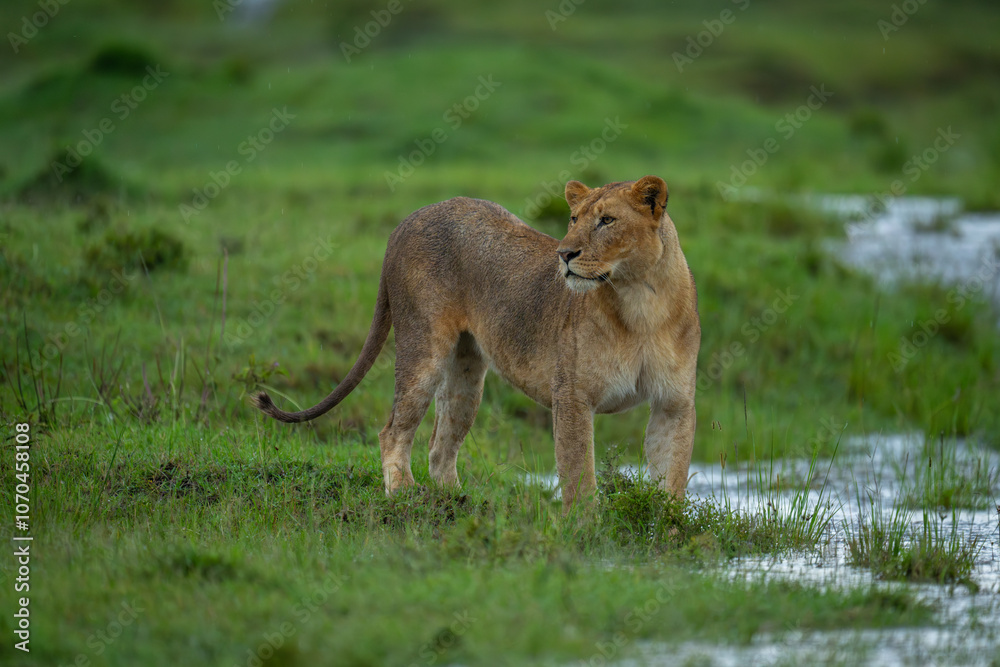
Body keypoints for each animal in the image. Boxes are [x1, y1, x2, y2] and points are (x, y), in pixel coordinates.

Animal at [254, 176, 700, 509]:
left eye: (607, 220)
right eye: (574, 218)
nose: (564, 253)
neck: (640, 302)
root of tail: (409, 219)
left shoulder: (674, 402)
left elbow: (672, 476)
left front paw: (667, 527)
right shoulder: (573, 396)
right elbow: (580, 475)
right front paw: (584, 530)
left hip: (466, 375)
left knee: (440, 445)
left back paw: (457, 501)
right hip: (423, 348)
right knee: (393, 429)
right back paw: (405, 496)